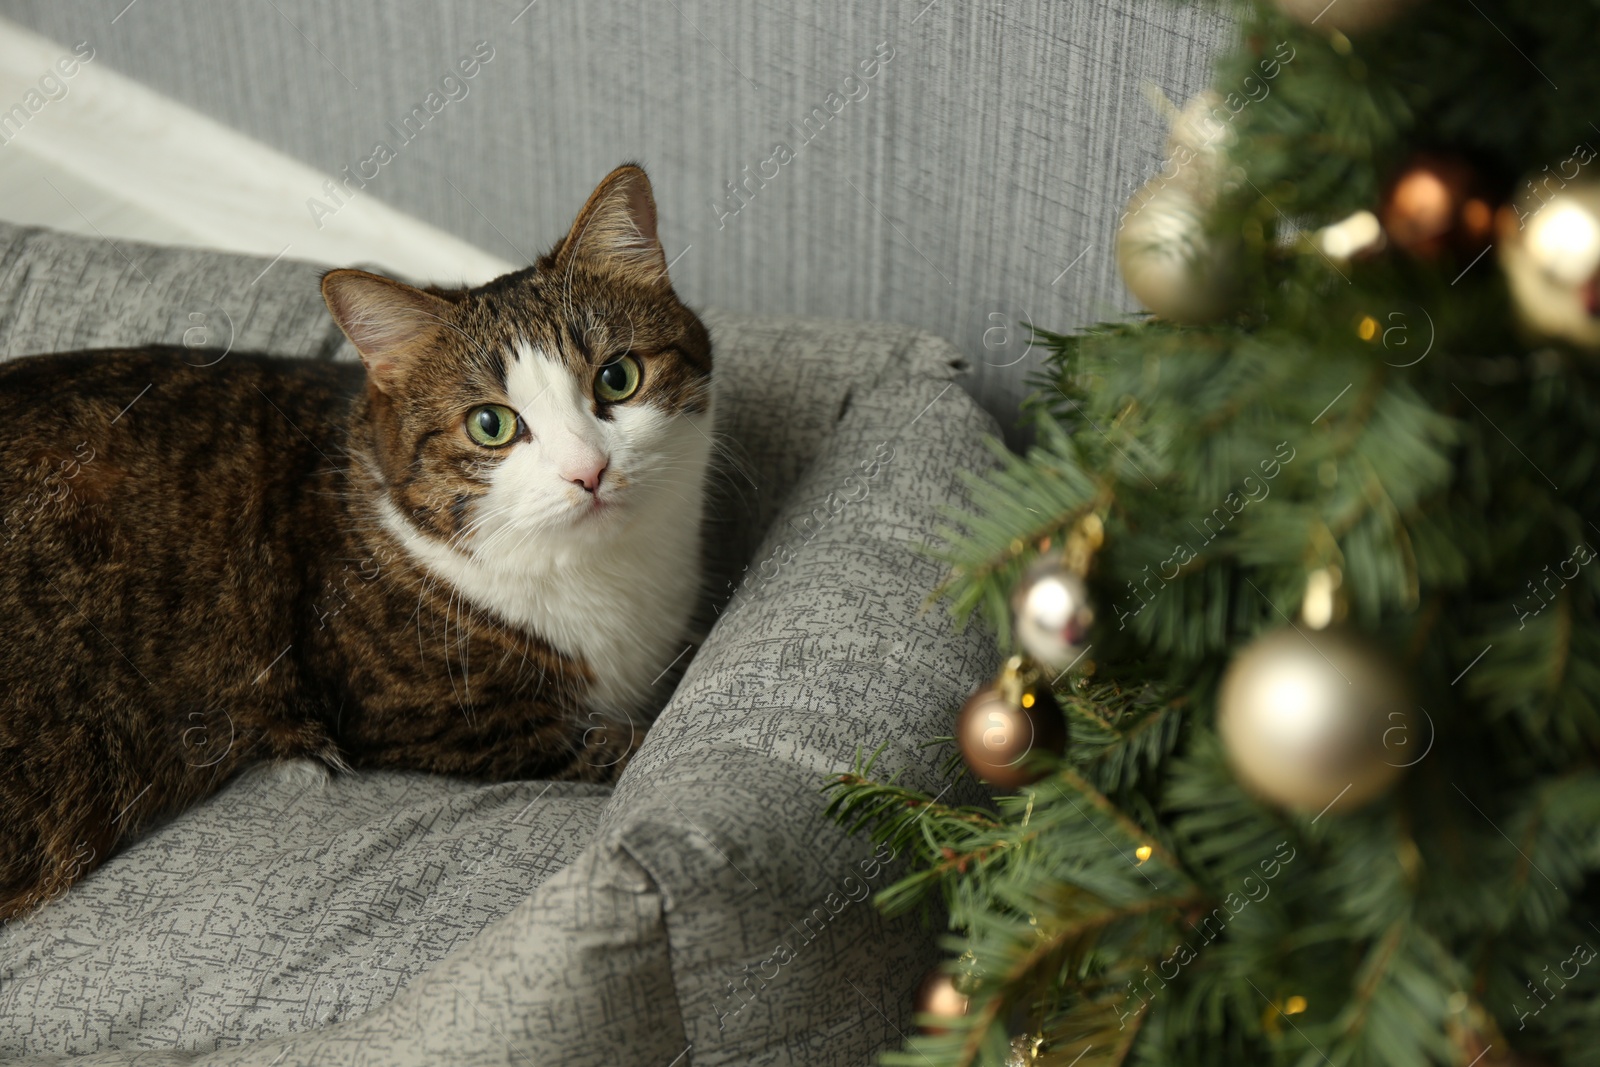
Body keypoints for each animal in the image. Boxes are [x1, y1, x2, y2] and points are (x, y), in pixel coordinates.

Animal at [0, 164, 713, 921]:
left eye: (618, 377)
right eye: (490, 424)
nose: (589, 470)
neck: (604, 573)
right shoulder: (440, 721)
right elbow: (608, 747)